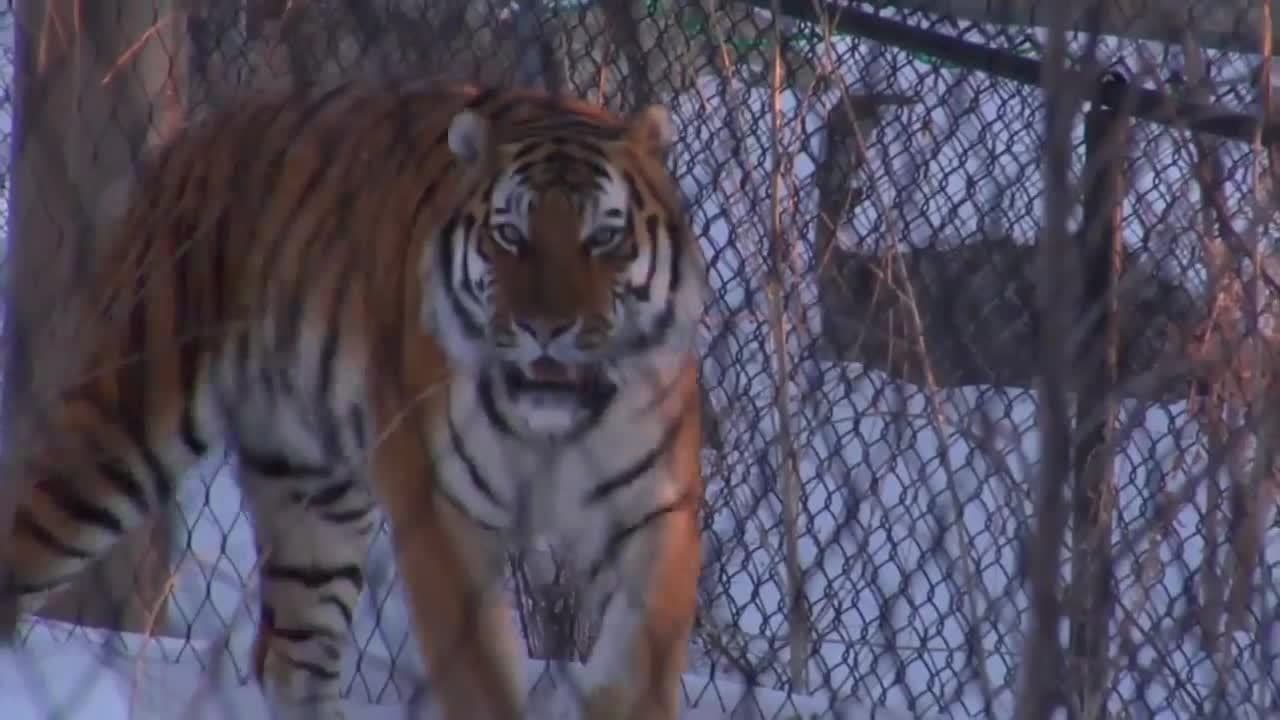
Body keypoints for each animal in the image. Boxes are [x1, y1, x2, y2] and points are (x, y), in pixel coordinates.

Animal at [0, 80, 708, 720]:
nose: (545, 328)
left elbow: (641, 667)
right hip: (119, 434)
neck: (555, 428)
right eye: (511, 236)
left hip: (315, 497)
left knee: (292, 657)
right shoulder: (439, 509)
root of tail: (190, 139)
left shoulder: (656, 509)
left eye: (603, 239)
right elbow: (480, 676)